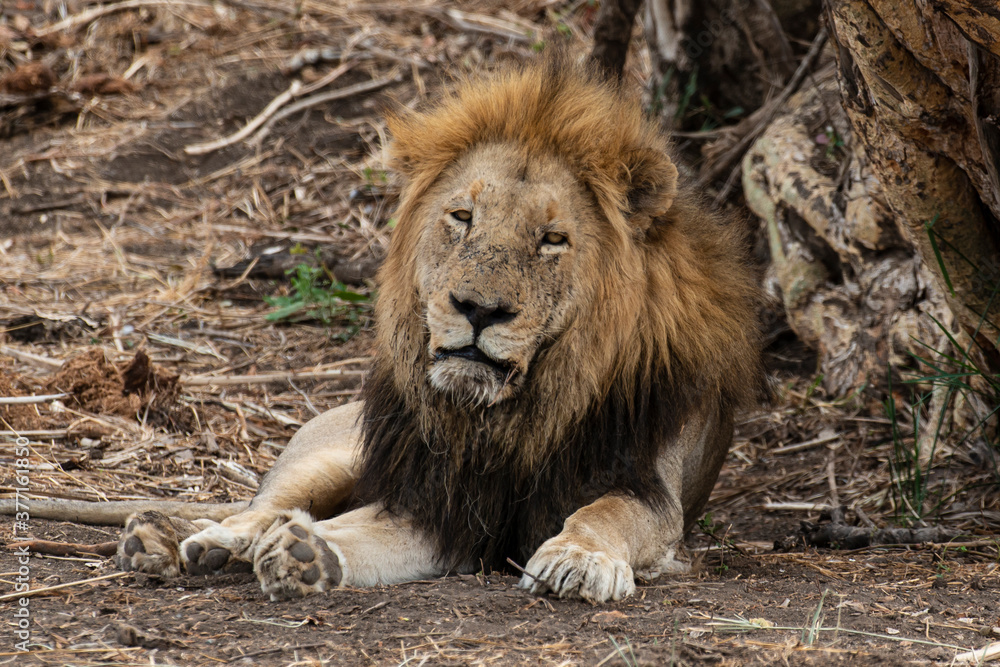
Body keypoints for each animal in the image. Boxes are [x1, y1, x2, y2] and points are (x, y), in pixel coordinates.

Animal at [108, 55, 764, 603]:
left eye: (553, 239)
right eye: (462, 217)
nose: (477, 308)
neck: (510, 420)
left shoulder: (650, 489)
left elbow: (605, 513)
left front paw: (578, 559)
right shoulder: (434, 501)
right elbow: (355, 526)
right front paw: (305, 548)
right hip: (333, 452)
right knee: (256, 506)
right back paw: (187, 540)